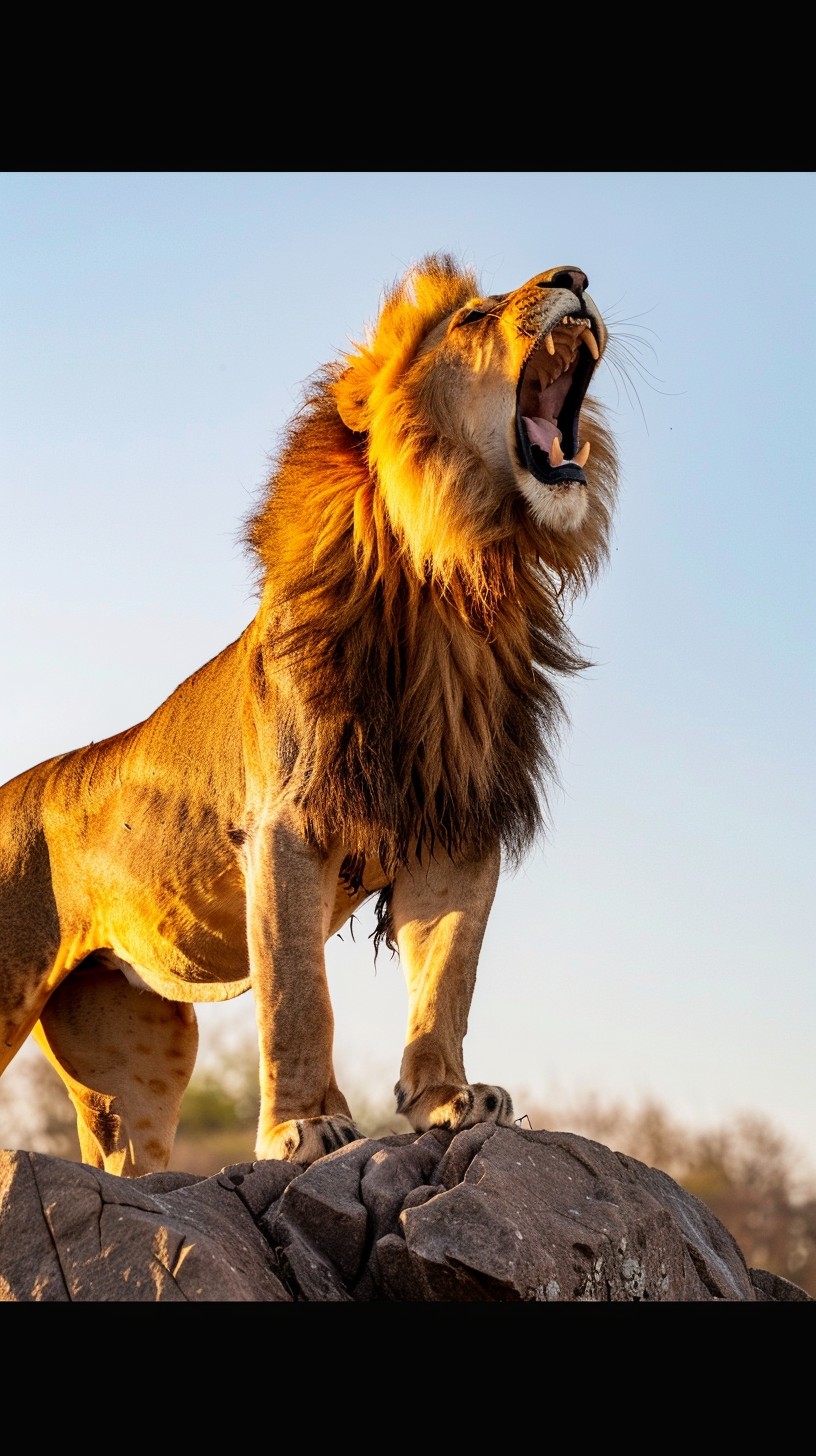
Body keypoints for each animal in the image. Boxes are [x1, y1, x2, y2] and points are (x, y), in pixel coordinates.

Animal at [0, 254, 618, 1176]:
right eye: (475, 317)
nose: (572, 274)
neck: (453, 582)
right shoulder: (287, 826)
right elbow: (298, 995)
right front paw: (302, 1126)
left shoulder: (457, 829)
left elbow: (447, 978)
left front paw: (448, 1099)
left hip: (137, 1050)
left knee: (127, 1156)